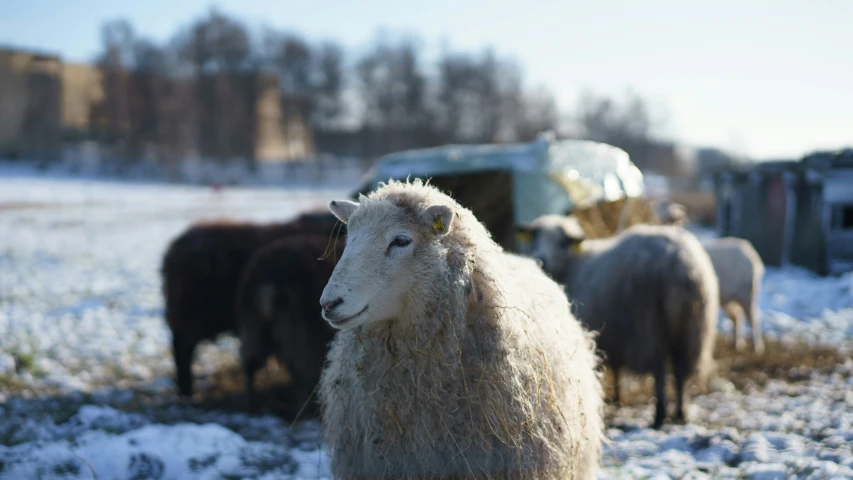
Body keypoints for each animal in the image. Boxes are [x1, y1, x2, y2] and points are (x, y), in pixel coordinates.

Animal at [233, 234, 342, 414]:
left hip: (253, 325)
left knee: (250, 361)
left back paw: (251, 404)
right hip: (297, 328)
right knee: (298, 368)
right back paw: (302, 407)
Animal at [520, 216, 720, 430]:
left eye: (562, 242)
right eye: (534, 237)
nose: (540, 259)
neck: (573, 263)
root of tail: (679, 263)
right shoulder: (615, 336)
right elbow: (617, 368)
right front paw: (618, 397)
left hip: (649, 325)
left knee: (659, 369)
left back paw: (659, 415)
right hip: (693, 330)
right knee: (681, 372)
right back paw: (681, 413)